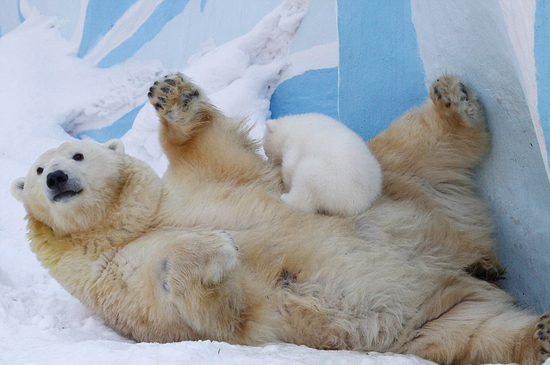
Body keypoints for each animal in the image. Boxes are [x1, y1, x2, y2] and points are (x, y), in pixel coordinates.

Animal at [9, 72, 550, 362]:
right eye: (36, 170)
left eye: (77, 154)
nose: (56, 177)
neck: (127, 226)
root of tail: (470, 261)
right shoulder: (114, 282)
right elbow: (203, 314)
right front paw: (216, 247)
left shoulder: (202, 184)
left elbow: (207, 148)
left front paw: (172, 95)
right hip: (430, 321)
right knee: (483, 335)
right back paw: (539, 332)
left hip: (404, 191)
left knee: (417, 148)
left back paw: (452, 100)